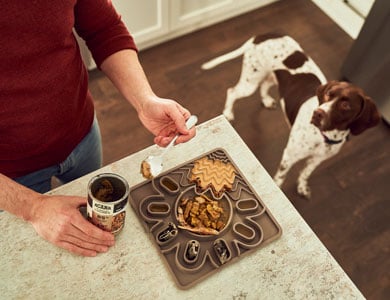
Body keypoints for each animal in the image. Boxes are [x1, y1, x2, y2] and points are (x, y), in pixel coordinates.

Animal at [201, 34, 380, 199]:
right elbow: (280, 178)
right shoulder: (289, 156)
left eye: (346, 105)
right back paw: (228, 113)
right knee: (231, 91)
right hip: (250, 81)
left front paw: (302, 186)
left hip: (271, 78)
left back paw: (266, 100)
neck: (324, 135)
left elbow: (306, 173)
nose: (317, 113)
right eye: (328, 94)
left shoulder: (317, 160)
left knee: (264, 86)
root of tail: (261, 36)